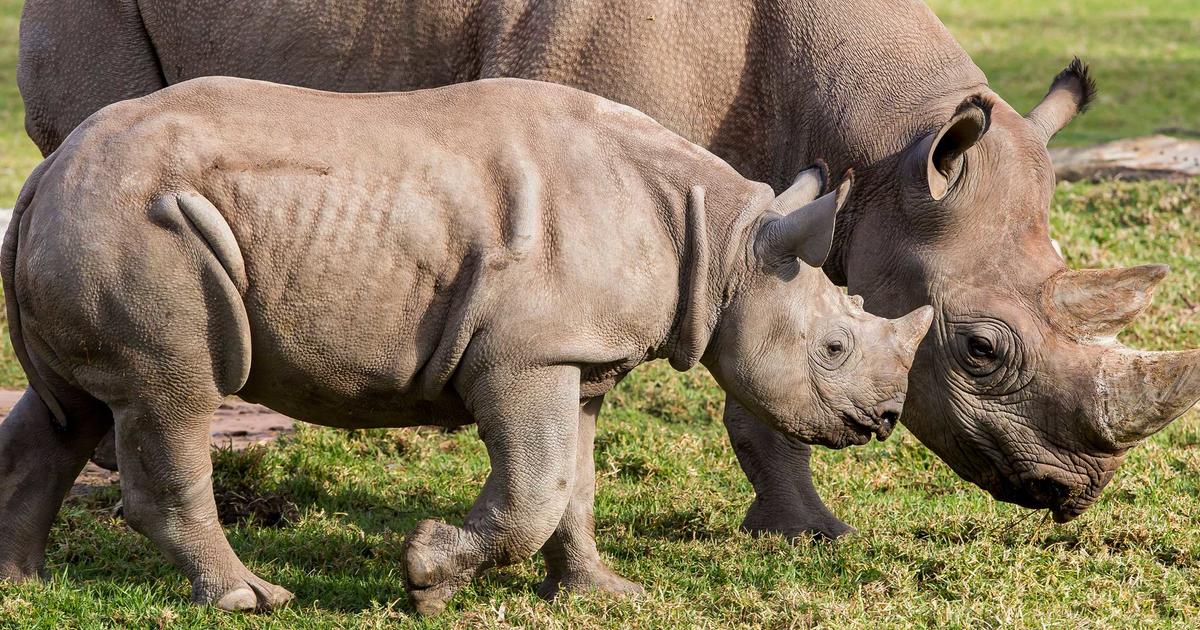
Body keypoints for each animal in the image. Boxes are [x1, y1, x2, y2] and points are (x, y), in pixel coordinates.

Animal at [0, 77, 931, 614]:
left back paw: (23, 584)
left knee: (73, 412)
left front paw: (602, 593)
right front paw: (425, 580)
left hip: (97, 216)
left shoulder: (576, 359)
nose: (883, 420)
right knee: (174, 395)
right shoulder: (525, 355)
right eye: (835, 347)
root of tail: (46, 172)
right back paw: (250, 598)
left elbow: (571, 487)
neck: (730, 243)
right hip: (140, 229)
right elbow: (536, 489)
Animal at [16, 0, 1200, 532]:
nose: (1076, 491)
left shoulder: (778, 215)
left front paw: (801, 532)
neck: (881, 141)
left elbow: (766, 371)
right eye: (983, 350)